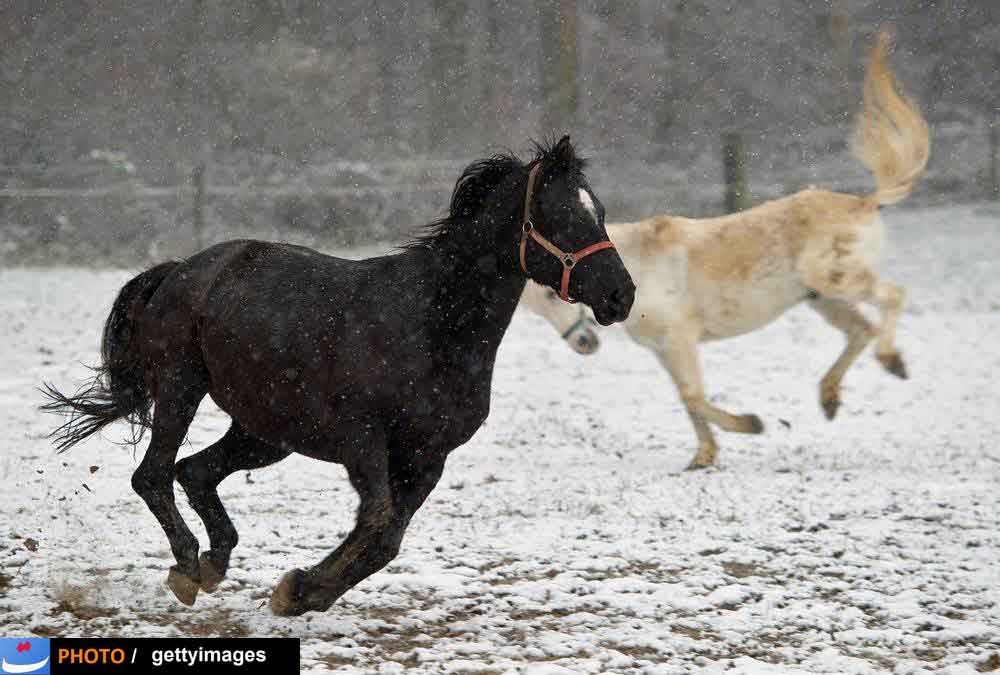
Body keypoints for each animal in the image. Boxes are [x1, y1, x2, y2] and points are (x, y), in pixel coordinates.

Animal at [41, 135, 635, 616]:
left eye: (600, 211)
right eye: (562, 216)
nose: (621, 296)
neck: (430, 325)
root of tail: (181, 270)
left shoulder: (429, 458)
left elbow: (387, 539)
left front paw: (306, 592)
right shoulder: (364, 442)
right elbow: (374, 522)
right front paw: (298, 589)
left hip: (266, 433)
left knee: (195, 472)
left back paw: (214, 562)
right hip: (183, 390)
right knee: (154, 475)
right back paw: (189, 566)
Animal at [522, 29, 929, 470]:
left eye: (553, 294)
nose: (586, 344)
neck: (639, 265)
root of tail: (866, 203)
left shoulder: (681, 339)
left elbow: (693, 397)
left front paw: (750, 425)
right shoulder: (665, 351)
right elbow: (687, 400)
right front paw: (703, 457)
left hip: (840, 282)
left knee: (893, 297)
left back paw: (891, 361)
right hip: (823, 298)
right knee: (860, 331)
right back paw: (830, 397)